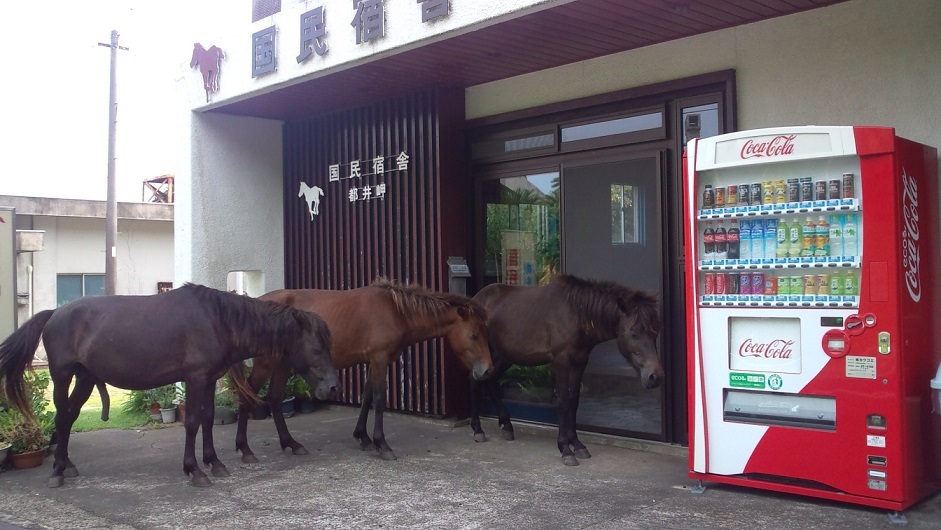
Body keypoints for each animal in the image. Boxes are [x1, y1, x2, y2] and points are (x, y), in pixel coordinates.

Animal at [0, 282, 338, 484]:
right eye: (316, 349)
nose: (333, 387)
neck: (217, 319)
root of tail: (55, 313)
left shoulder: (209, 379)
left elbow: (208, 419)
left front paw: (214, 462)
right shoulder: (195, 378)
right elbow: (192, 423)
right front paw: (195, 470)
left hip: (85, 378)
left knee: (69, 416)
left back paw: (67, 464)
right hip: (62, 375)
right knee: (60, 417)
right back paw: (57, 471)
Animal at [233, 278, 492, 460]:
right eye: (473, 334)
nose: (487, 370)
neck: (395, 311)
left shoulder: (372, 361)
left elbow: (366, 397)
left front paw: (363, 437)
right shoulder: (379, 359)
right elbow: (378, 399)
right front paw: (382, 444)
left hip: (284, 364)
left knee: (275, 398)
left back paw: (291, 444)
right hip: (266, 364)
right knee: (247, 396)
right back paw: (245, 449)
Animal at [470, 274, 660, 464]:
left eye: (656, 332)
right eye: (634, 333)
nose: (655, 376)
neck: (576, 314)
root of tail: (476, 299)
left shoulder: (579, 362)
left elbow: (574, 402)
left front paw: (577, 444)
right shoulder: (561, 361)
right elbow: (563, 403)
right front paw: (565, 448)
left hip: (504, 356)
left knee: (488, 380)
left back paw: (506, 426)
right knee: (476, 381)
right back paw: (478, 430)